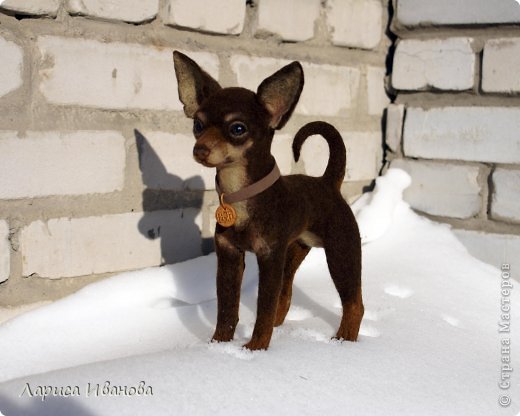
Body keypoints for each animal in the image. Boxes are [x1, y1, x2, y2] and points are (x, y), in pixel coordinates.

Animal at [175, 52, 362, 352]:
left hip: (341, 251)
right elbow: (227, 309)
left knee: (354, 303)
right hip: (294, 252)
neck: (240, 197)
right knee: (285, 296)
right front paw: (219, 346)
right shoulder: (229, 256)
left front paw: (255, 349)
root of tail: (328, 182)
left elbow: (263, 307)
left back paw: (344, 340)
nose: (199, 149)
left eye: (237, 128)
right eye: (198, 125)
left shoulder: (269, 257)